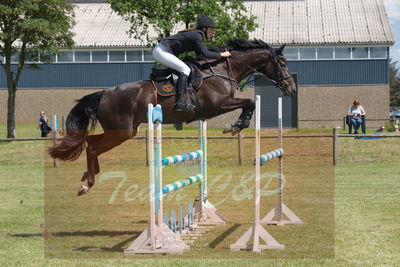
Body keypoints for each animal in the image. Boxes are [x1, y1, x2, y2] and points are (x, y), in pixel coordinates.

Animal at [50, 38, 296, 196]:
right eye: (283, 62)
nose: (291, 88)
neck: (222, 70)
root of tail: (104, 93)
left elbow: (249, 103)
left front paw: (237, 125)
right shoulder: (218, 106)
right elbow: (249, 103)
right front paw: (236, 125)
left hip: (122, 130)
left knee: (90, 142)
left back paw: (87, 176)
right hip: (121, 131)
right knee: (92, 147)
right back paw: (87, 184)